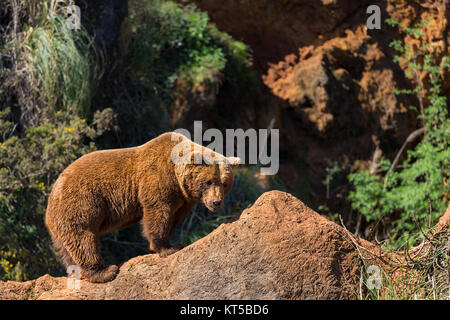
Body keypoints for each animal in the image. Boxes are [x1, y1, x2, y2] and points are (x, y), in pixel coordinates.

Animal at [45, 132, 241, 282]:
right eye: (209, 182)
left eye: (224, 183)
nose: (216, 202)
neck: (177, 177)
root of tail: (53, 192)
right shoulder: (157, 180)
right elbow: (158, 213)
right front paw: (167, 248)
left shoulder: (183, 199)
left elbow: (174, 217)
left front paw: (172, 242)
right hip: (81, 203)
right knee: (83, 237)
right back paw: (106, 271)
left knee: (67, 246)